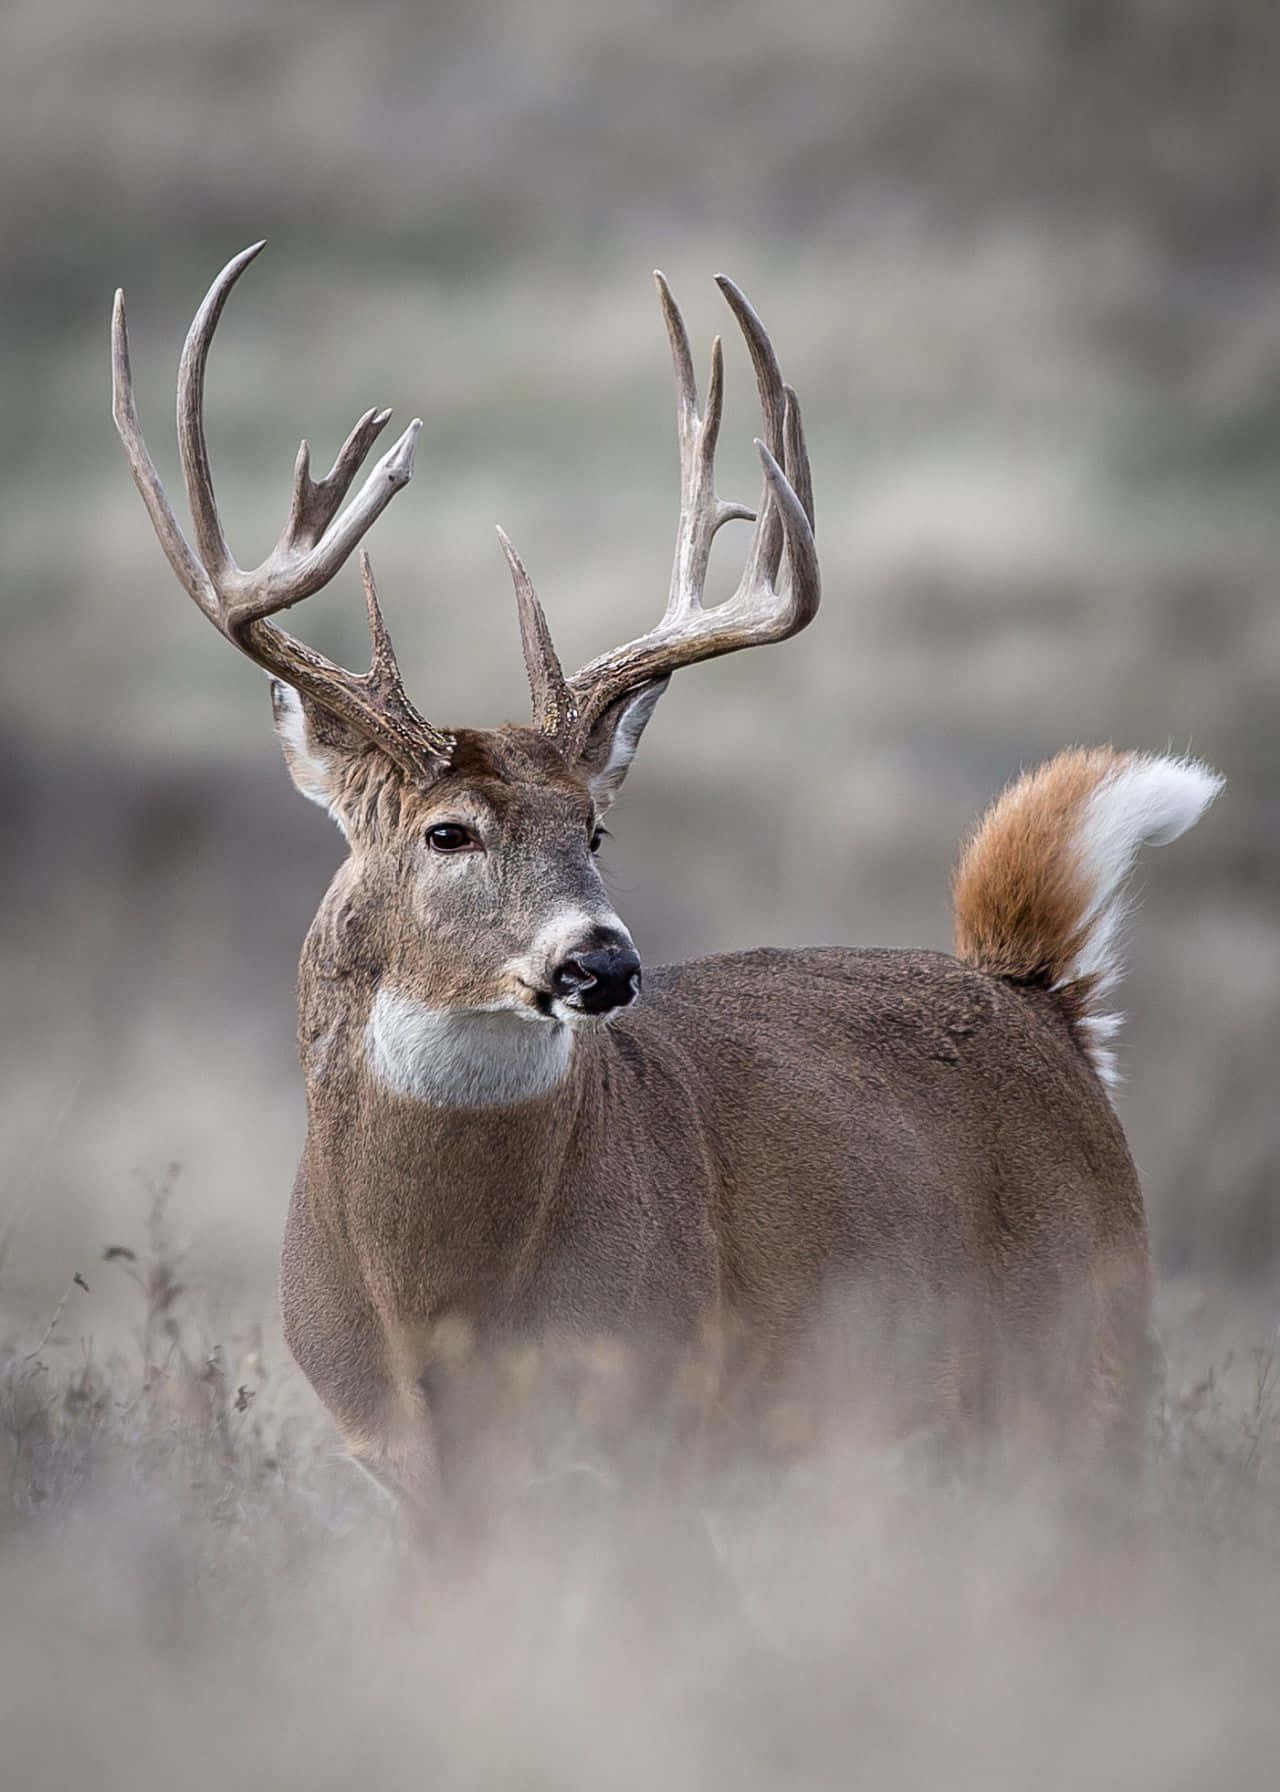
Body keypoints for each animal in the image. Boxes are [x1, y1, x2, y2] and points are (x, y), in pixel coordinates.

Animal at [112, 244, 1221, 1536]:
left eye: (594, 826)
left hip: (1086, 1352)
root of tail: (1038, 999)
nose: (601, 961)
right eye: (447, 832)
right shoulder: (403, 1472)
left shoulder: (658, 1412)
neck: (438, 1307)